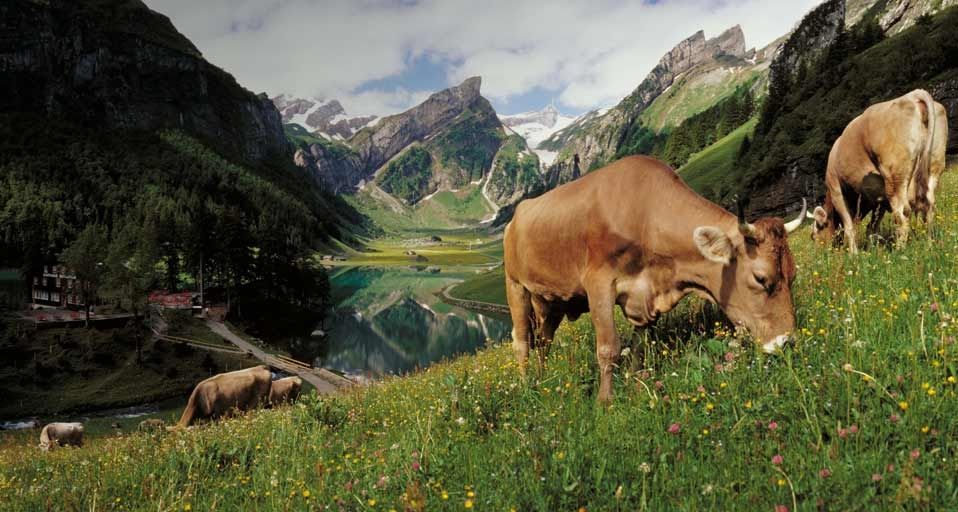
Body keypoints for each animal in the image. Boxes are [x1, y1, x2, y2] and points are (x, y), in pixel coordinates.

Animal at [504, 155, 806, 403]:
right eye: (760, 278)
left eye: (793, 273)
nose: (785, 342)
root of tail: (515, 218)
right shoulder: (599, 283)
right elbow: (609, 348)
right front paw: (605, 402)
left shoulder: (644, 295)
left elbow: (639, 347)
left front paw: (637, 385)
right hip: (516, 286)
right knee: (521, 342)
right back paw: (527, 387)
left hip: (552, 301)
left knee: (544, 341)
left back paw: (542, 379)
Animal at [810, 90, 944, 252]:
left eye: (813, 235)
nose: (819, 254)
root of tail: (912, 95)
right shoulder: (879, 199)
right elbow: (872, 227)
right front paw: (873, 250)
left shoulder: (835, 189)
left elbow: (849, 227)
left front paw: (854, 254)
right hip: (933, 166)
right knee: (928, 205)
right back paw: (929, 245)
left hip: (894, 175)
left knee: (902, 212)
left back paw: (900, 250)